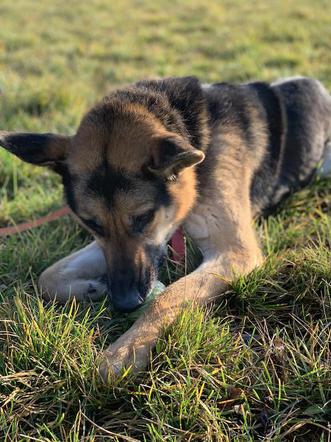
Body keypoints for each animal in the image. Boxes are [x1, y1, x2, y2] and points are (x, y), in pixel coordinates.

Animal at [0, 74, 331, 378]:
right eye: (92, 223)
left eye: (144, 218)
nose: (124, 303)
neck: (194, 134)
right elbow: (47, 275)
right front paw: (91, 288)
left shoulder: (234, 252)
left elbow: (168, 296)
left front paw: (125, 350)